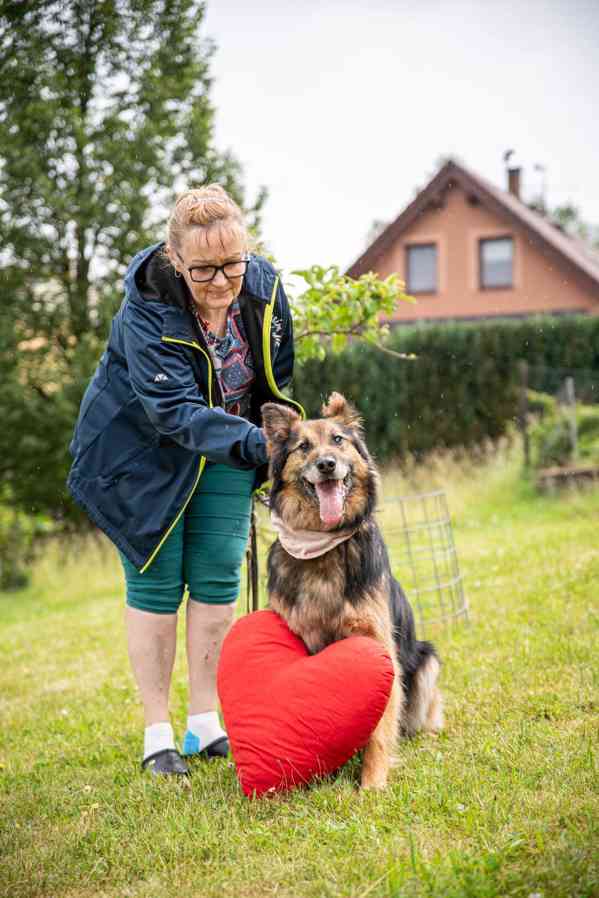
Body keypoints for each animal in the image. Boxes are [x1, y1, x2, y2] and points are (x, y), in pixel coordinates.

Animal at [264, 390, 446, 784]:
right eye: (303, 446)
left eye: (337, 440)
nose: (327, 465)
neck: (323, 547)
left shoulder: (378, 646)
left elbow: (379, 730)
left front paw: (372, 782)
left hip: (427, 661)